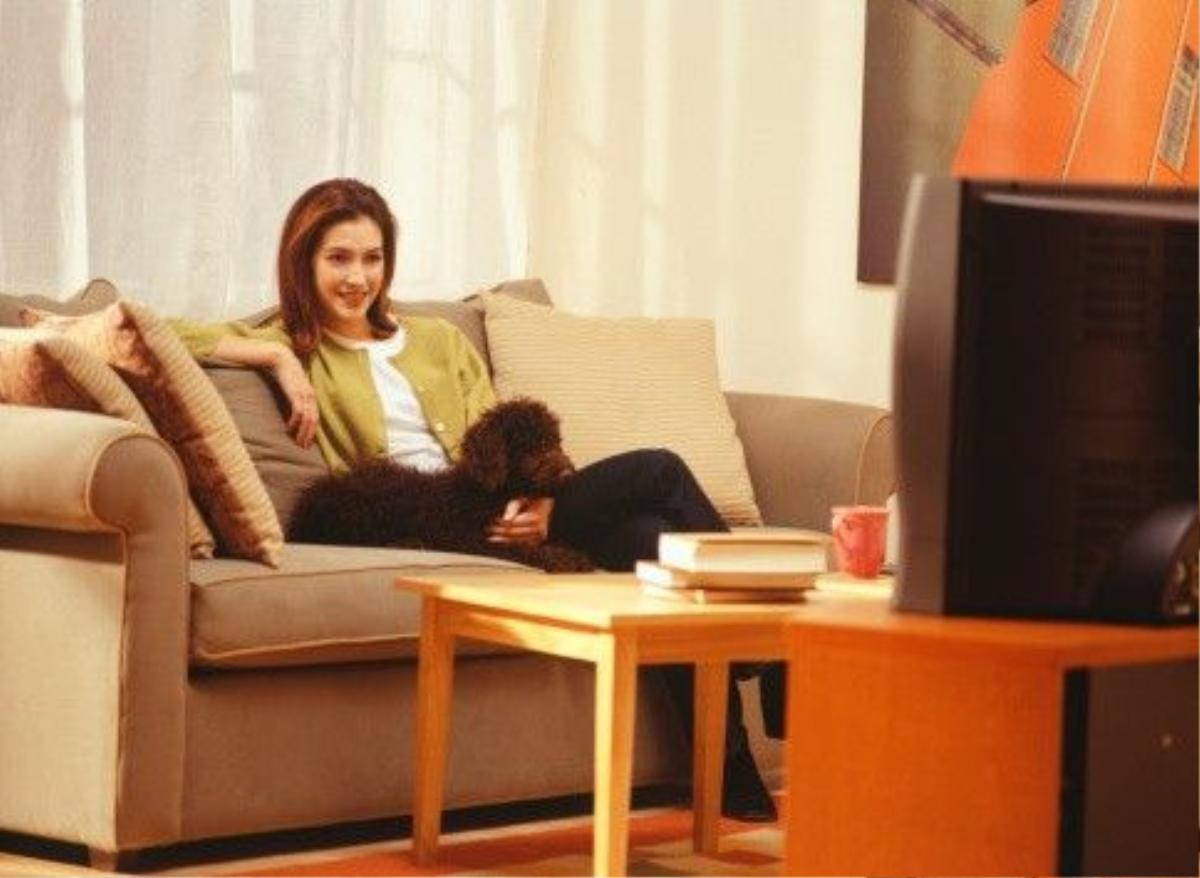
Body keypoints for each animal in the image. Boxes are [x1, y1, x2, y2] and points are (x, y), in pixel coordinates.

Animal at [286, 393, 595, 573]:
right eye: (529, 445)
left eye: (555, 441)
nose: (568, 474)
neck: (485, 493)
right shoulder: (468, 539)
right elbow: (518, 549)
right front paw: (564, 558)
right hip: (360, 507)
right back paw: (409, 543)